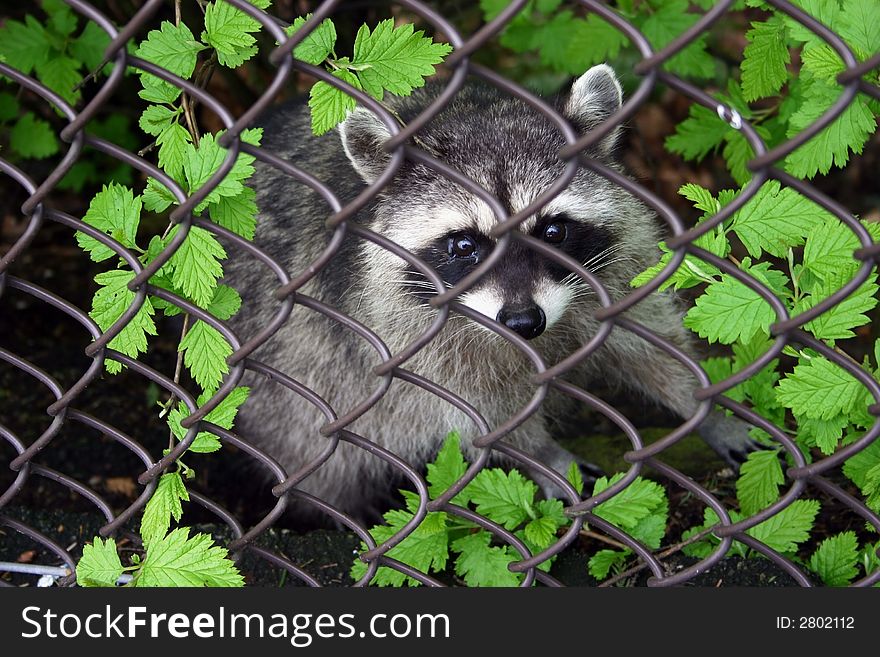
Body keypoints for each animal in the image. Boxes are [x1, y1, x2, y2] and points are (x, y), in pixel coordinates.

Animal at [225, 64, 756, 520]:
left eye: (553, 231)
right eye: (465, 245)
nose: (524, 322)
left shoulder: (616, 273)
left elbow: (648, 340)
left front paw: (700, 405)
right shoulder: (399, 333)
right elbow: (473, 408)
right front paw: (540, 451)